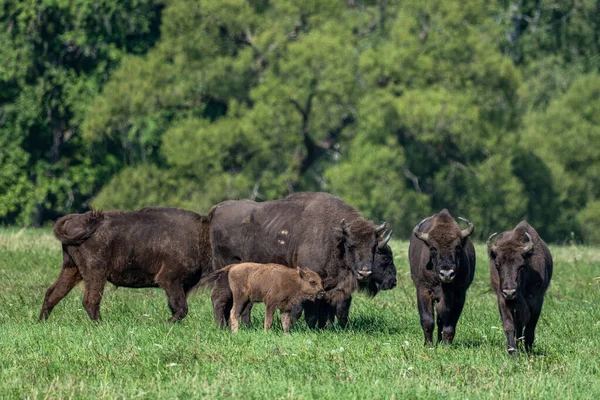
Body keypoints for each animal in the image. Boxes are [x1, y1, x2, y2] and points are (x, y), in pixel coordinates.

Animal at [38, 206, 212, 322]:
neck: (200, 235)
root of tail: (74, 219)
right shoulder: (170, 280)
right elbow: (182, 308)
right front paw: (168, 322)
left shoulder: (181, 285)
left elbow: (178, 306)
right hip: (96, 271)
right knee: (90, 300)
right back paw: (101, 325)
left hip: (71, 268)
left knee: (53, 293)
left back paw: (41, 322)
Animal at [410, 209, 476, 344]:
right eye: (432, 248)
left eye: (458, 247)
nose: (446, 273)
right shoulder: (423, 290)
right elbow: (427, 320)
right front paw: (428, 344)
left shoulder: (459, 294)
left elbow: (449, 324)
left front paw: (446, 345)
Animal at [488, 220, 552, 354]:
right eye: (497, 265)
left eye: (522, 266)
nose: (509, 292)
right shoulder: (502, 299)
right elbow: (509, 325)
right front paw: (512, 351)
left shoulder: (537, 301)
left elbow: (529, 328)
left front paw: (528, 350)